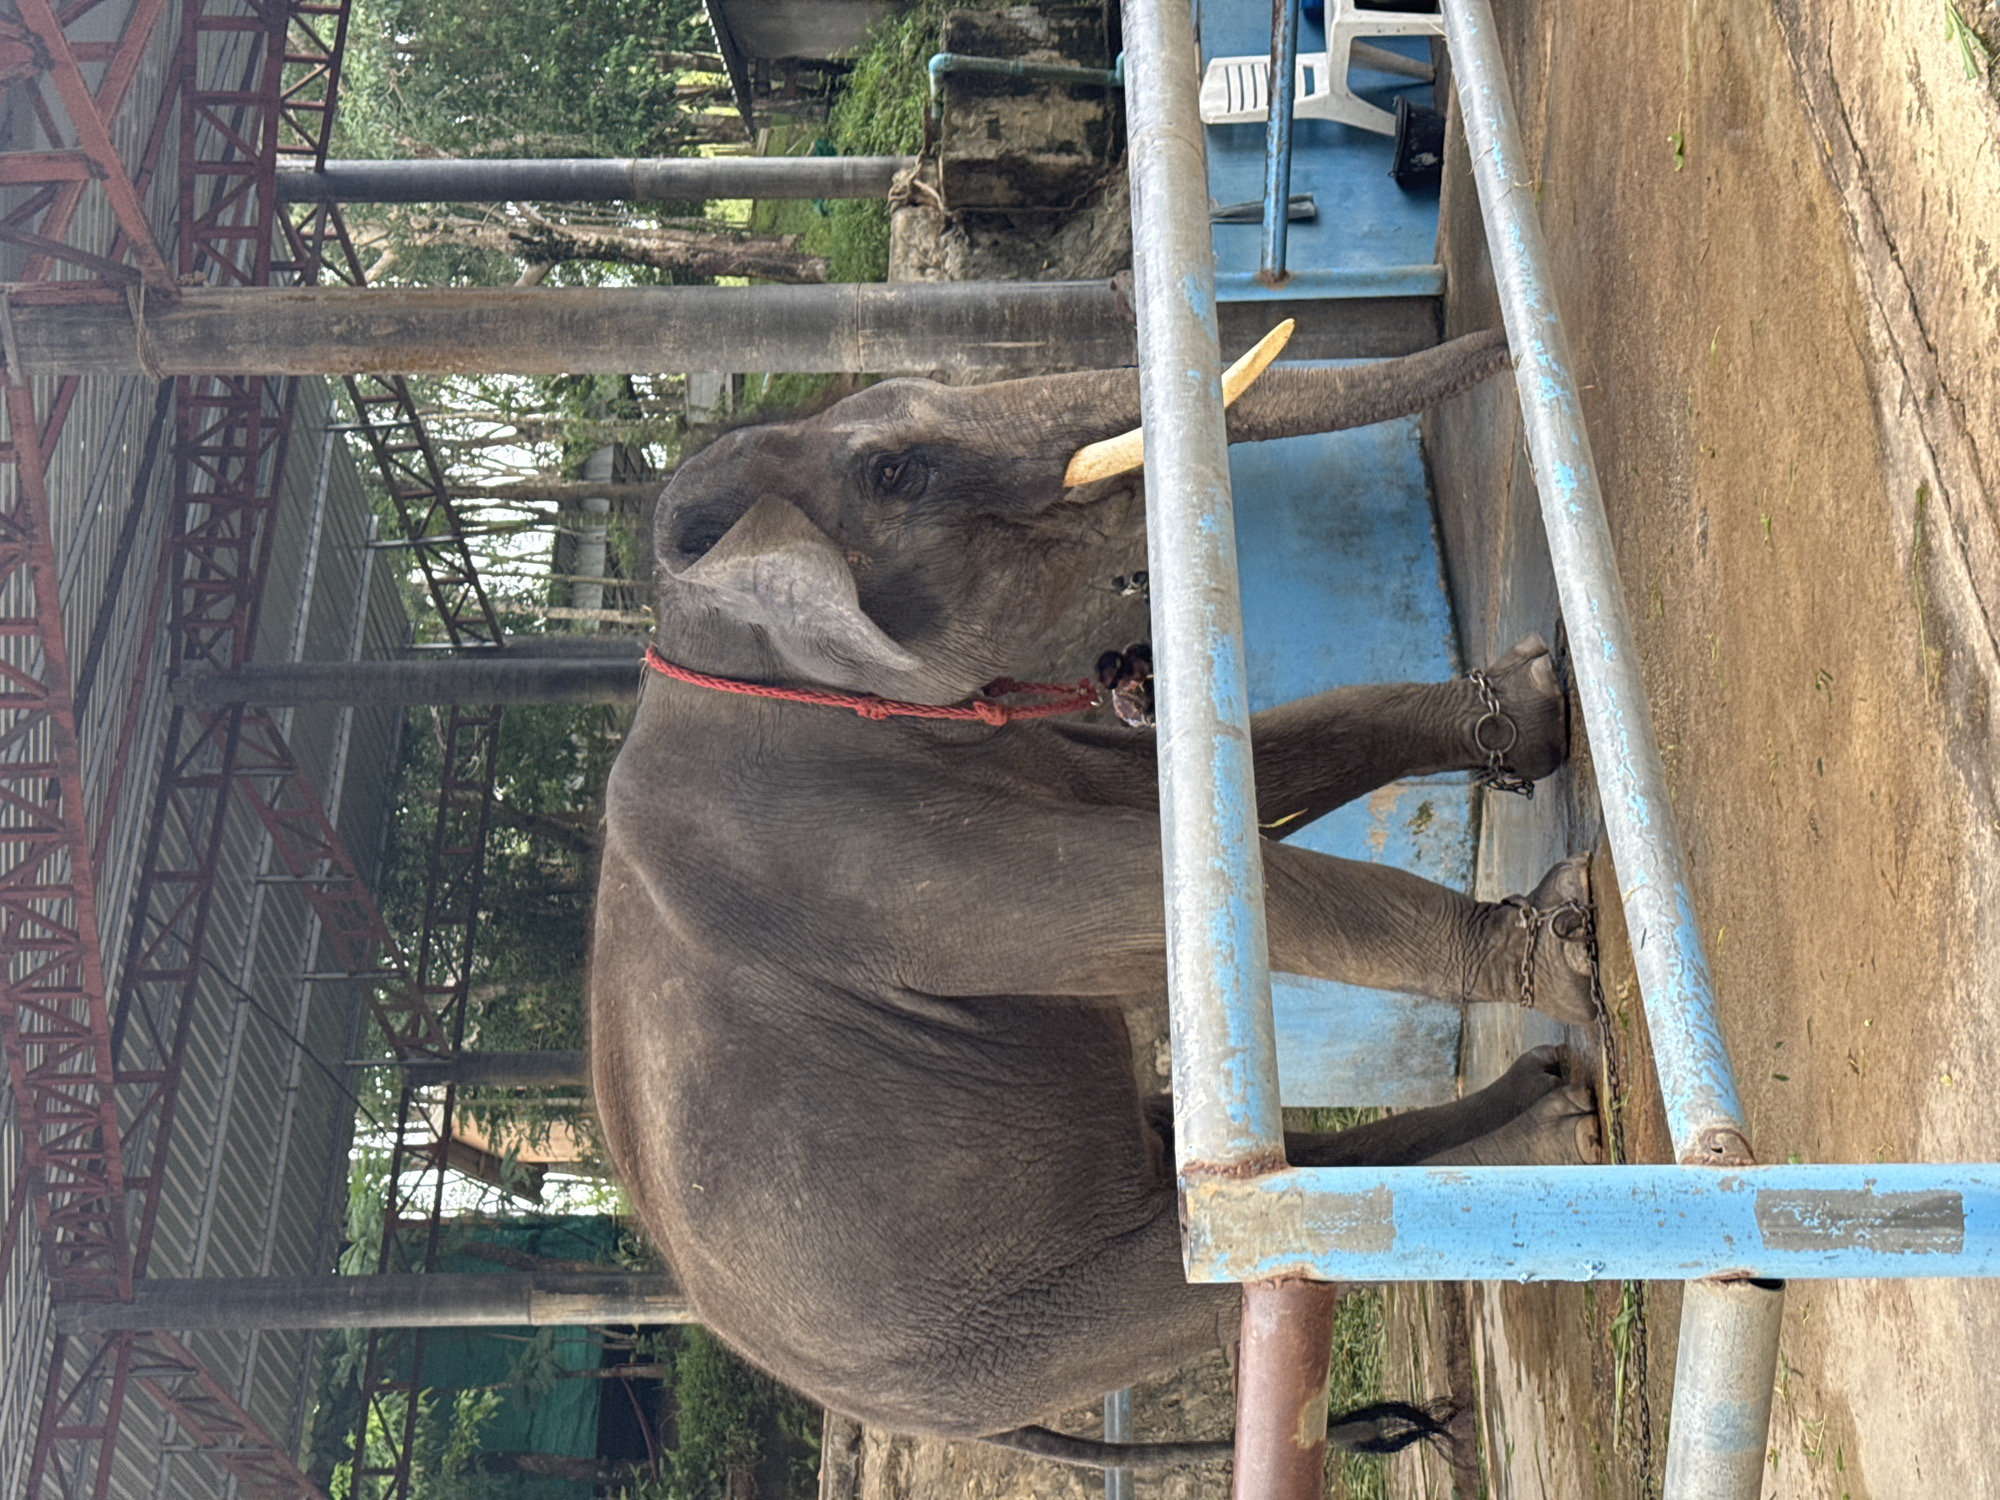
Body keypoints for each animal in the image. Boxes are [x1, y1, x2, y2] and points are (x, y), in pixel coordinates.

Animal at [588, 328, 1601, 1466]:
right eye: (894, 472)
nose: (1506, 342)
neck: (697, 626)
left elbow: (1211, 786)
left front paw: (1530, 703)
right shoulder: (851, 865)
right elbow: (1147, 892)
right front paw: (1568, 954)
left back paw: (1536, 1102)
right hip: (999, 1332)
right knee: (1204, 1268)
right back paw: (1559, 1133)